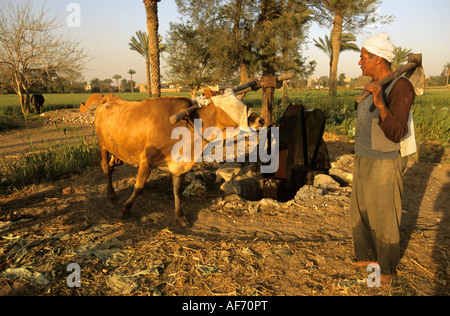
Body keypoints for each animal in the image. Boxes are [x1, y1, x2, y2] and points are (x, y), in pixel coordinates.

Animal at [94, 92, 264, 226]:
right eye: (232, 106)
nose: (260, 120)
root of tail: (108, 99)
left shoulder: (179, 165)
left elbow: (177, 190)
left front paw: (180, 216)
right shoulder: (146, 161)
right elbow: (139, 188)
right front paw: (125, 209)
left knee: (111, 165)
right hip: (103, 146)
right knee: (107, 169)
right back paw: (111, 195)